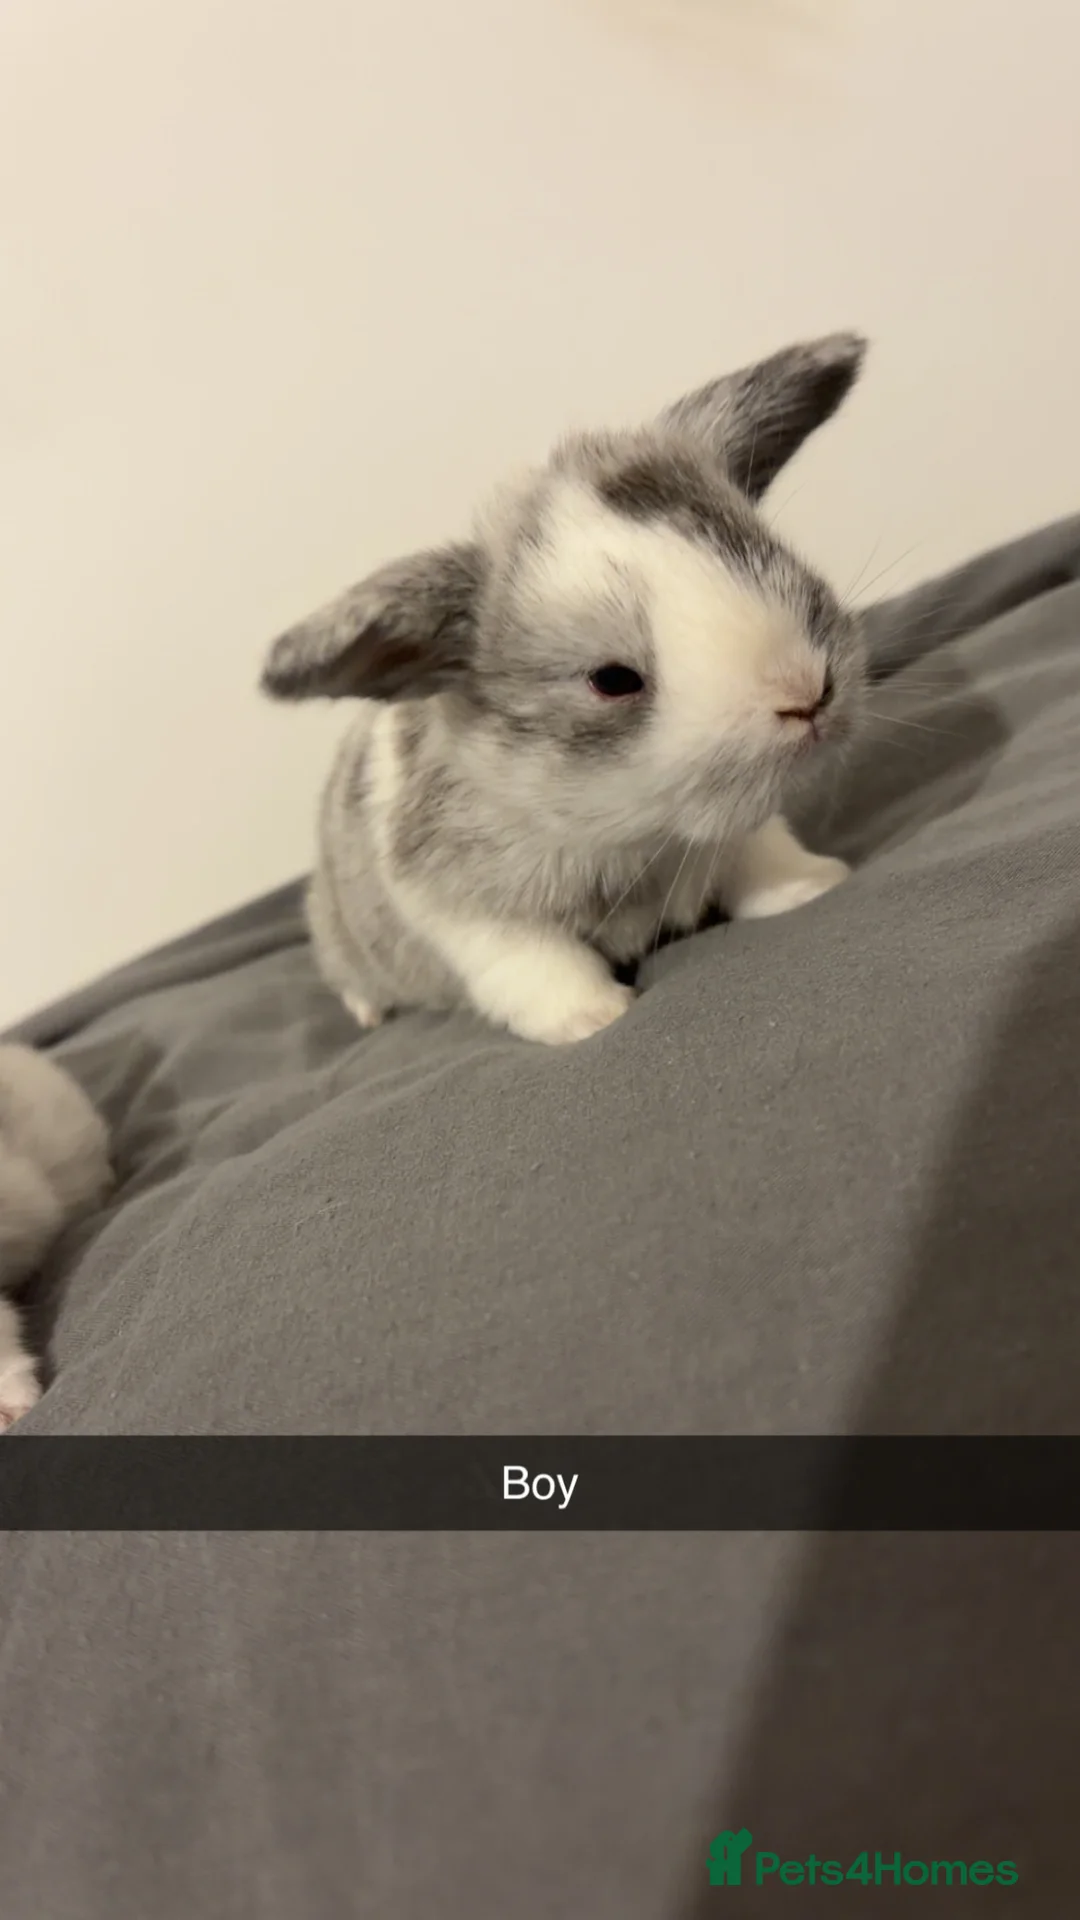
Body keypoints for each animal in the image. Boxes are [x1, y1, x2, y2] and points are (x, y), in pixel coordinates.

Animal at [262, 332, 869, 1047]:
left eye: (771, 556)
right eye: (612, 680)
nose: (808, 693)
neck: (639, 836)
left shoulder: (741, 835)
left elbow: (764, 858)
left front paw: (815, 885)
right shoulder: (476, 916)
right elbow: (538, 965)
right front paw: (593, 1018)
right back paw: (368, 1012)